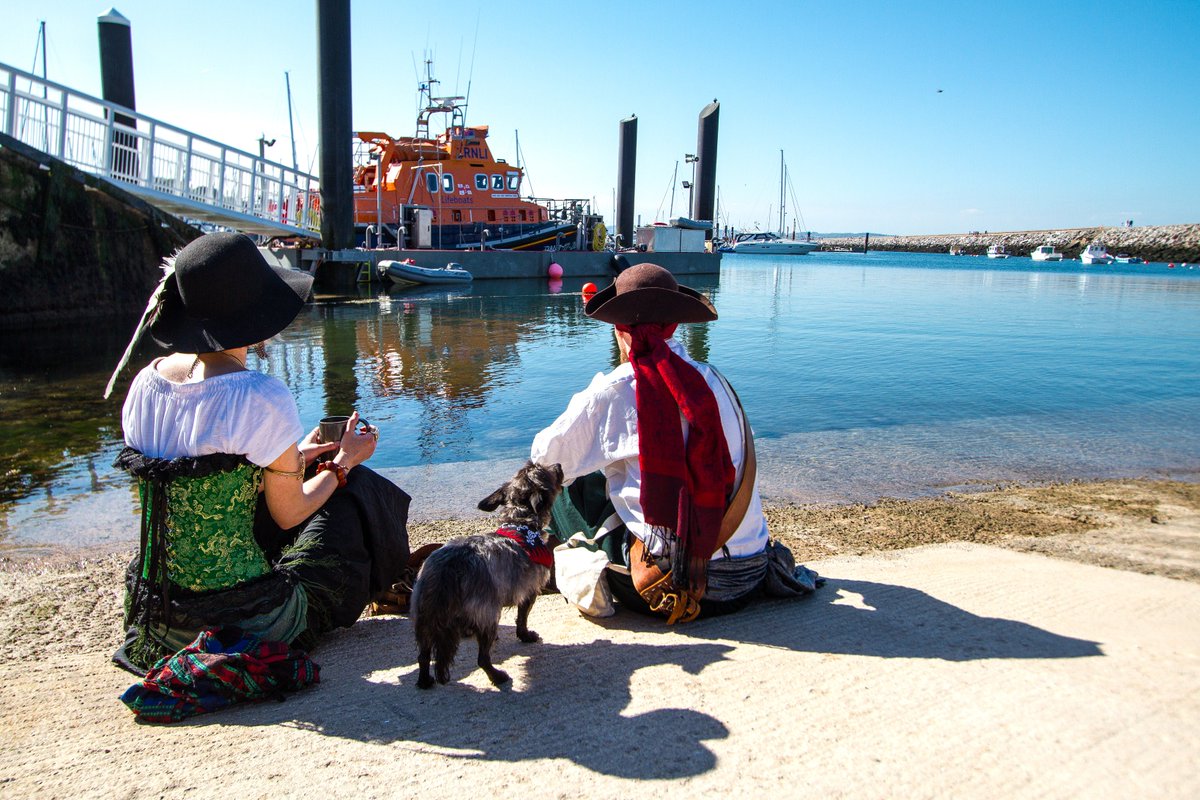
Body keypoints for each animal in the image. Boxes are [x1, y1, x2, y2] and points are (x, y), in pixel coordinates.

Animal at [412, 462, 561, 690]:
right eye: (545, 470)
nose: (559, 465)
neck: (520, 524)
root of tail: (447, 570)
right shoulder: (528, 591)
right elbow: (522, 618)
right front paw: (525, 636)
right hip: (489, 615)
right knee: (482, 658)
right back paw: (497, 676)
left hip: (425, 616)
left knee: (423, 655)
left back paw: (424, 680)